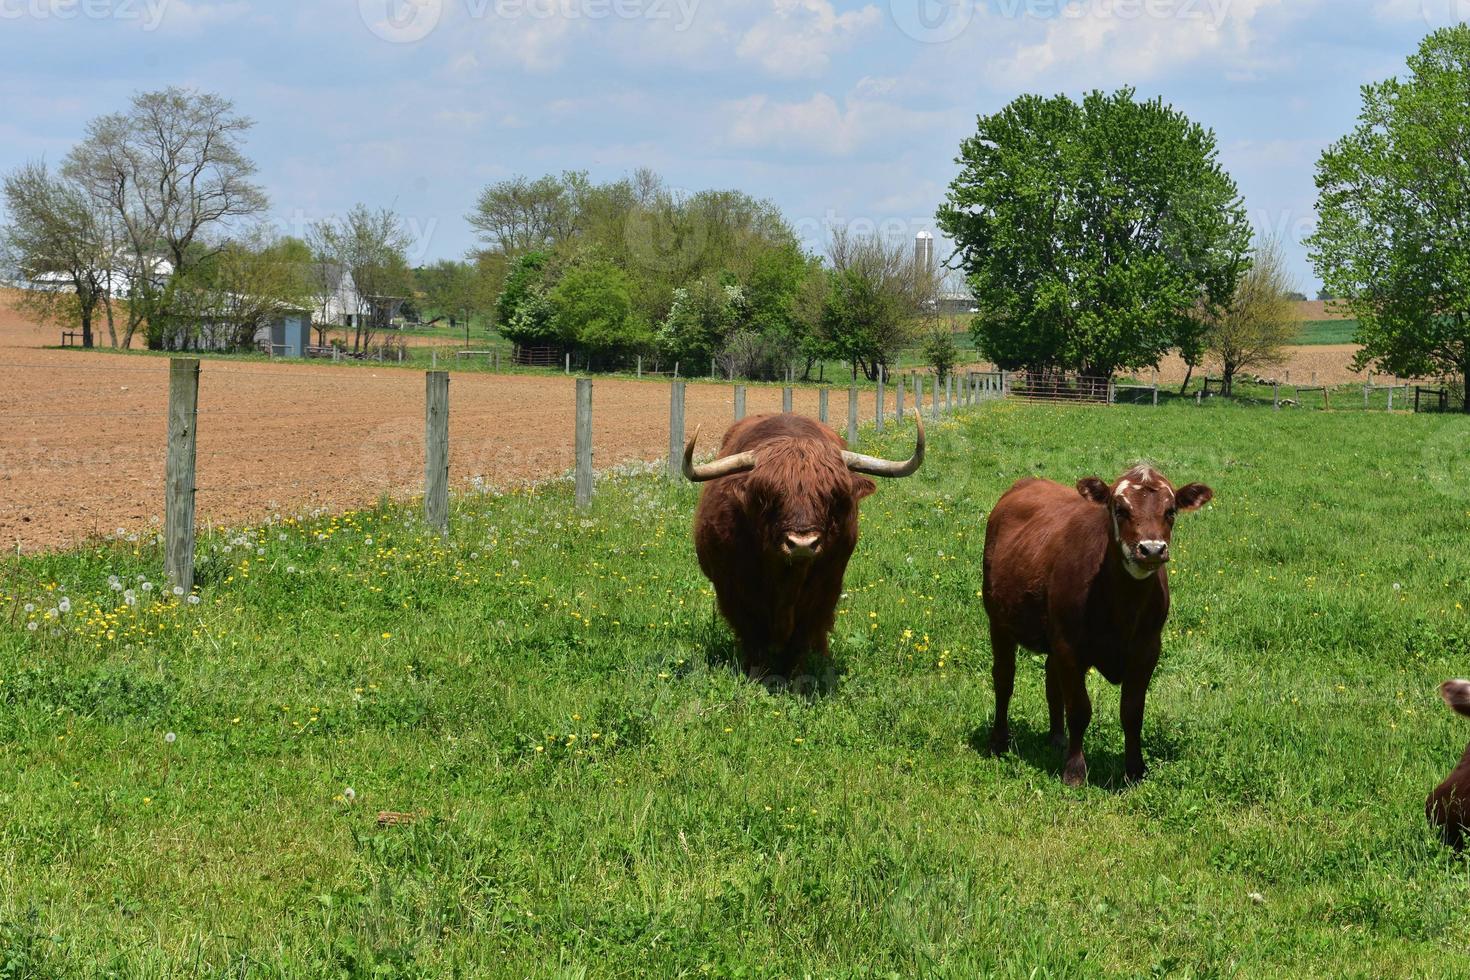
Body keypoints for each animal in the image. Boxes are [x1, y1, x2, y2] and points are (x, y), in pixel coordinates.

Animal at [685, 411, 917, 678]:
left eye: (832, 495)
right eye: (769, 496)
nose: (802, 543)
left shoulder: (825, 589)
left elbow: (802, 636)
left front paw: (796, 676)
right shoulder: (733, 589)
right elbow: (753, 636)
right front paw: (757, 675)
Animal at [981, 464, 1211, 787]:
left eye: (1171, 511)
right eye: (1120, 509)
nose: (1152, 549)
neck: (1122, 604)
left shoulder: (1147, 649)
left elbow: (1132, 712)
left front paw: (1134, 769)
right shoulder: (1069, 646)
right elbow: (1079, 709)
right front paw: (1075, 770)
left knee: (1051, 680)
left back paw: (1057, 738)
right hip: (999, 622)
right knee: (1004, 678)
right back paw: (998, 741)